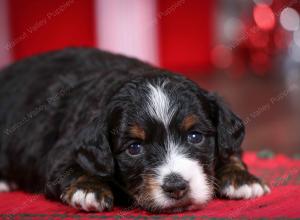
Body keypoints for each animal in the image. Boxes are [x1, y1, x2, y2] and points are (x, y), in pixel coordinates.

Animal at [0, 47, 270, 213]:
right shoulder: (64, 149)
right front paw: (89, 189)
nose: (176, 186)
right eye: (134, 148)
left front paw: (242, 179)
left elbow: (231, 153)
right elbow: (69, 169)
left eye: (195, 136)